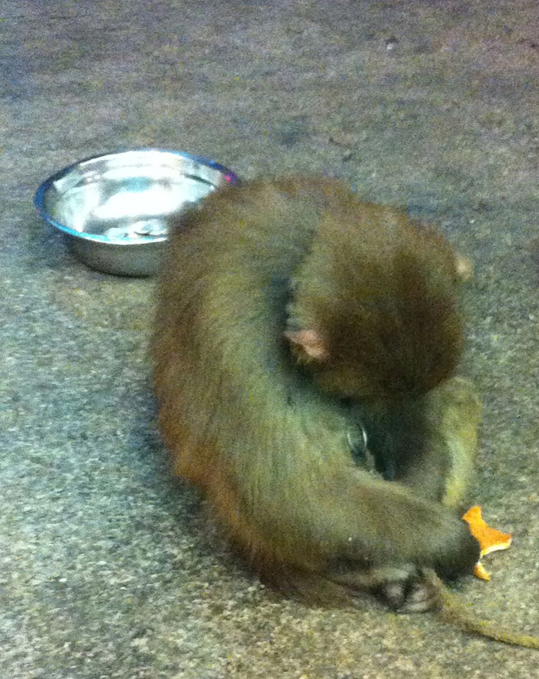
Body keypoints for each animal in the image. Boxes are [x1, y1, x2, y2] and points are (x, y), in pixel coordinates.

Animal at [152, 177, 539, 648]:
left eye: (379, 396)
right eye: (353, 396)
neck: (302, 250)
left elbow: (422, 426)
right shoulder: (240, 336)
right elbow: (291, 491)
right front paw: (452, 544)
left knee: (459, 400)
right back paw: (365, 573)